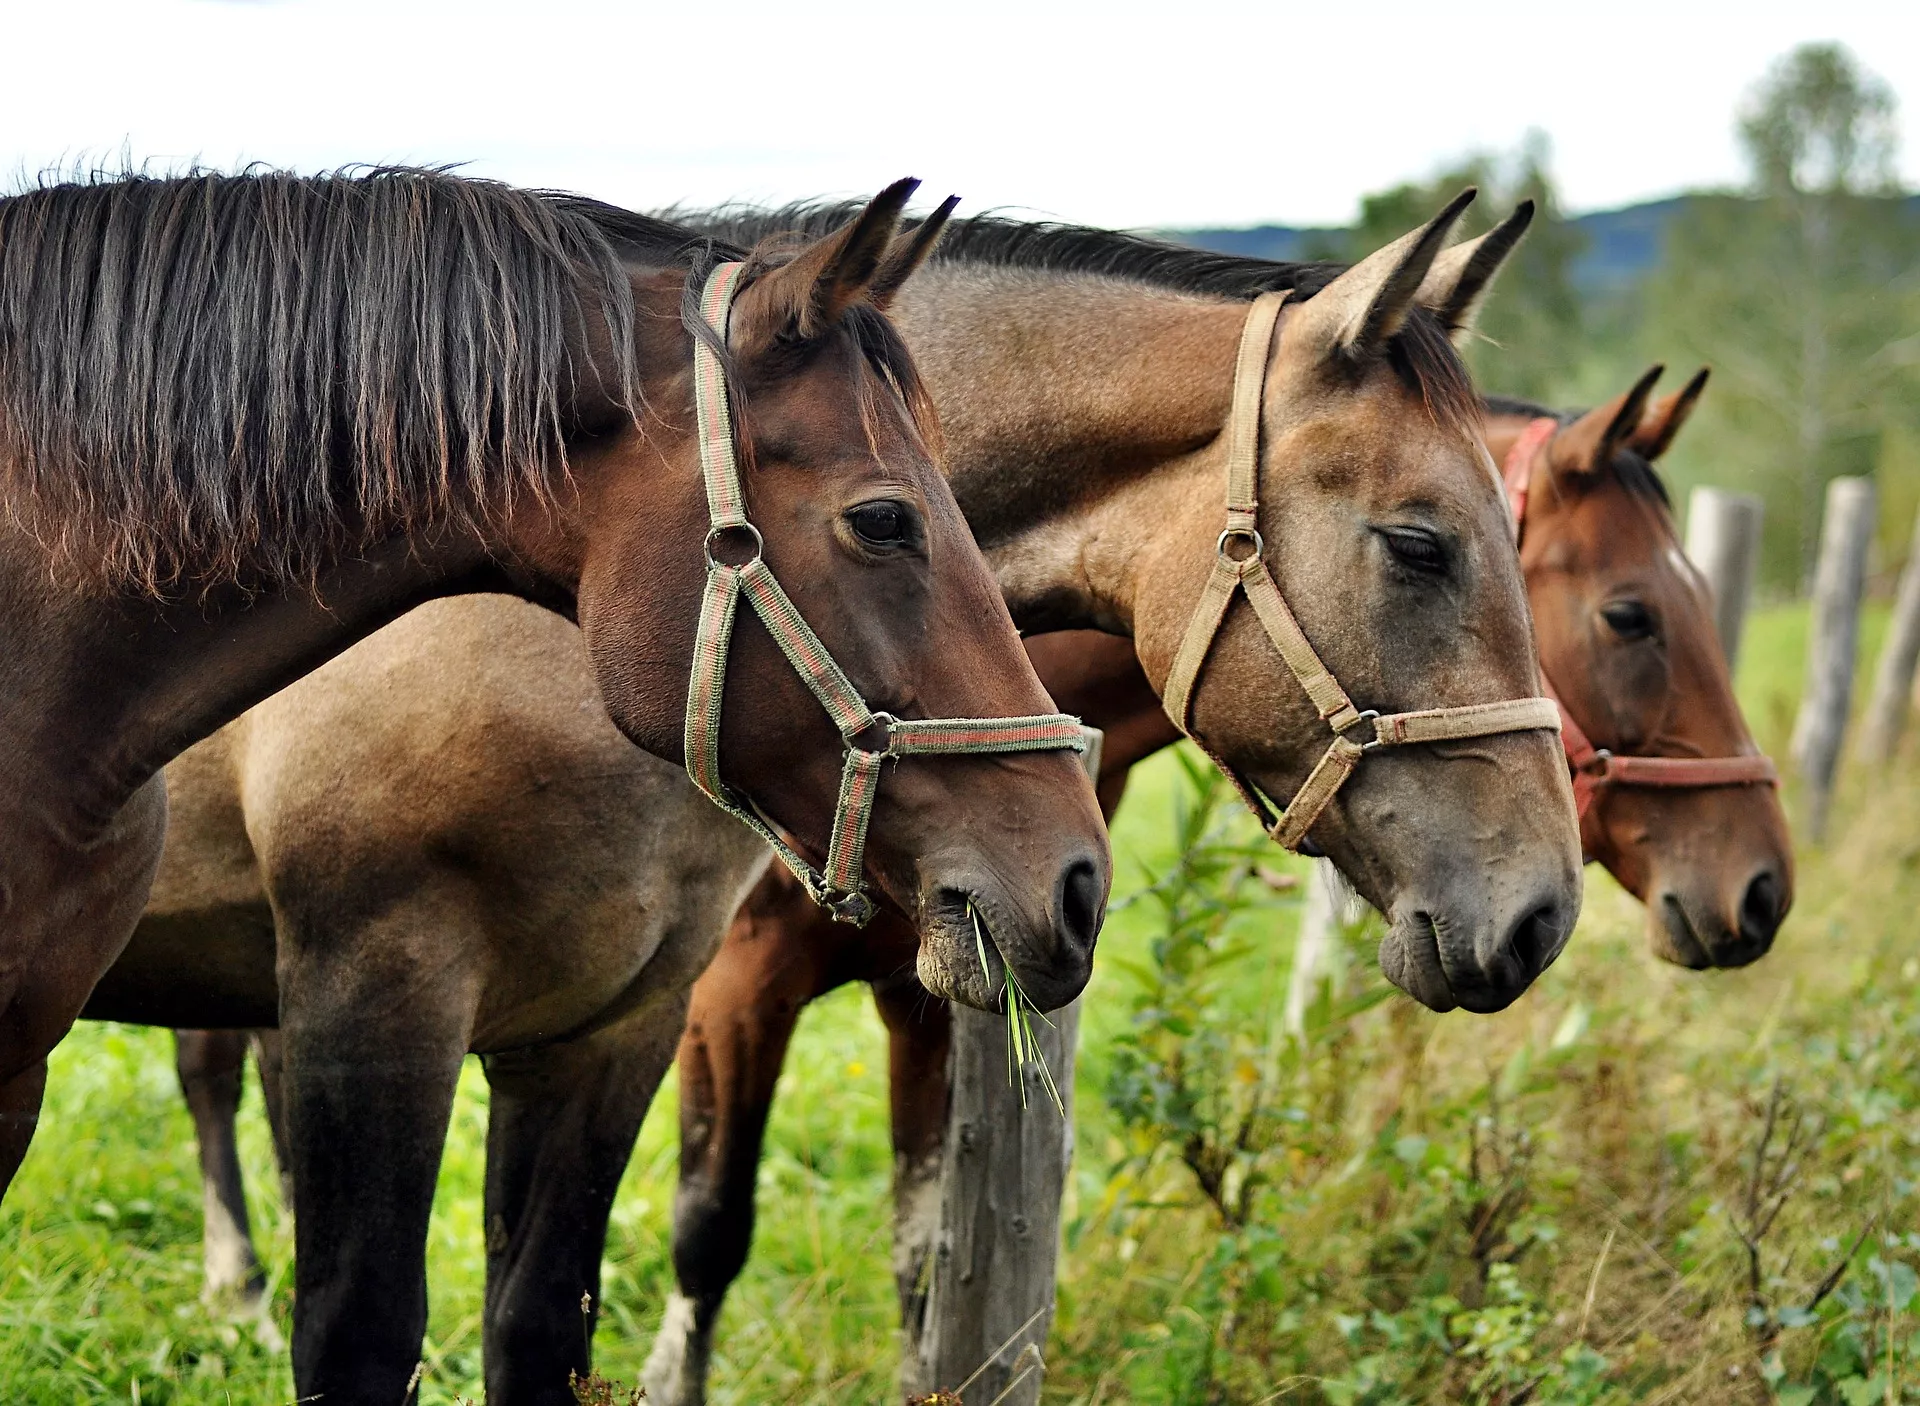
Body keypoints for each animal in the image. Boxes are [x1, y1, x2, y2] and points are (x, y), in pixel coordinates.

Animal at [135, 192, 1582, 1398]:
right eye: (1419, 543)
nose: (1543, 913)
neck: (540, 584)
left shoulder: (654, 1009)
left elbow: (897, 1252)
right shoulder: (406, 987)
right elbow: (683, 1235)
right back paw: (236, 1287)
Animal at [641, 364, 1781, 1406]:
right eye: (1629, 615)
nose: (1765, 886)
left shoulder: (929, 985)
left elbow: (924, 1266)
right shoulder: (731, 992)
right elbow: (708, 1234)